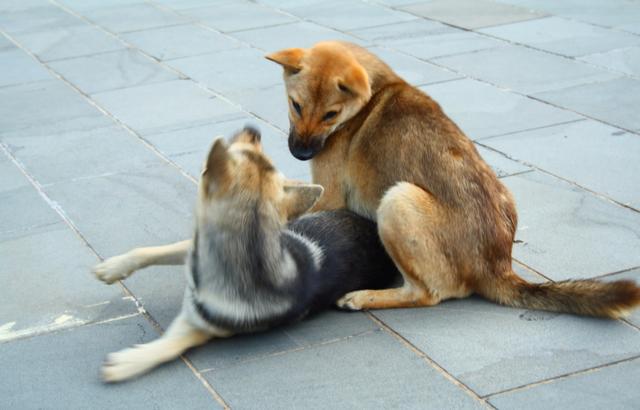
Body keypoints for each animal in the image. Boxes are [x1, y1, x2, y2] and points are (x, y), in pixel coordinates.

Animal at [93, 126, 398, 382]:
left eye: (237, 151)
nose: (254, 129)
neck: (248, 249)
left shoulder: (200, 324)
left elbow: (169, 346)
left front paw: (128, 362)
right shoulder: (193, 247)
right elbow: (151, 251)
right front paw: (112, 267)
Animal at [268, 40, 640, 318]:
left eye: (330, 115)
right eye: (295, 105)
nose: (300, 153)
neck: (371, 95)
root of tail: (497, 267)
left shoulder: (330, 195)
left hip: (398, 199)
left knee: (427, 294)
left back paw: (365, 297)